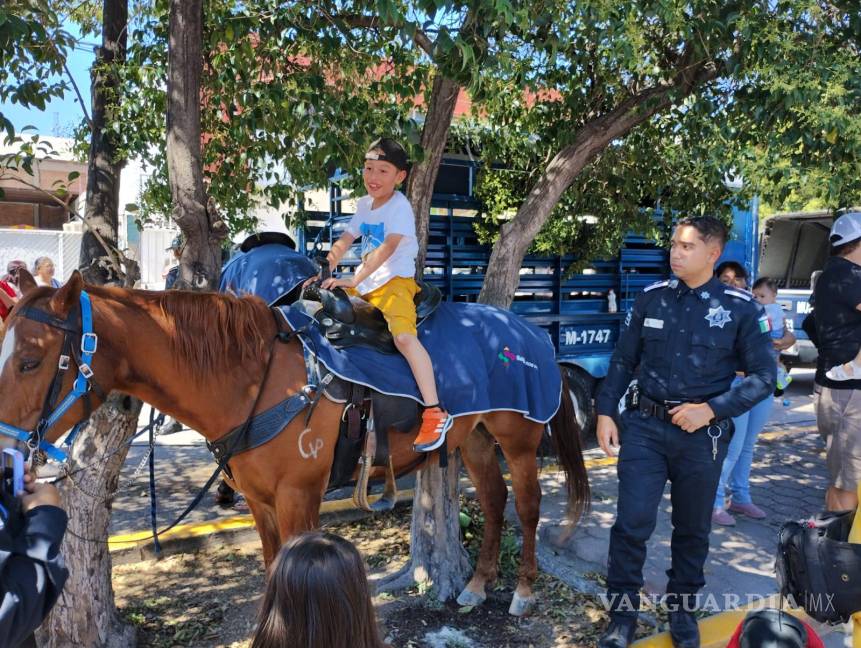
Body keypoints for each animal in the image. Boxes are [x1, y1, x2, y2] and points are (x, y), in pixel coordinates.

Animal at [0, 270, 588, 616]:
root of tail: (532, 333)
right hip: (476, 439)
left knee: (527, 507)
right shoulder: (261, 503)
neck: (254, 377)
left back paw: (524, 591)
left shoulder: (299, 497)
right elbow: (271, 569)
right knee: (493, 501)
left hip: (517, 439)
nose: (7, 453)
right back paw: (477, 585)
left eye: (29, 360)